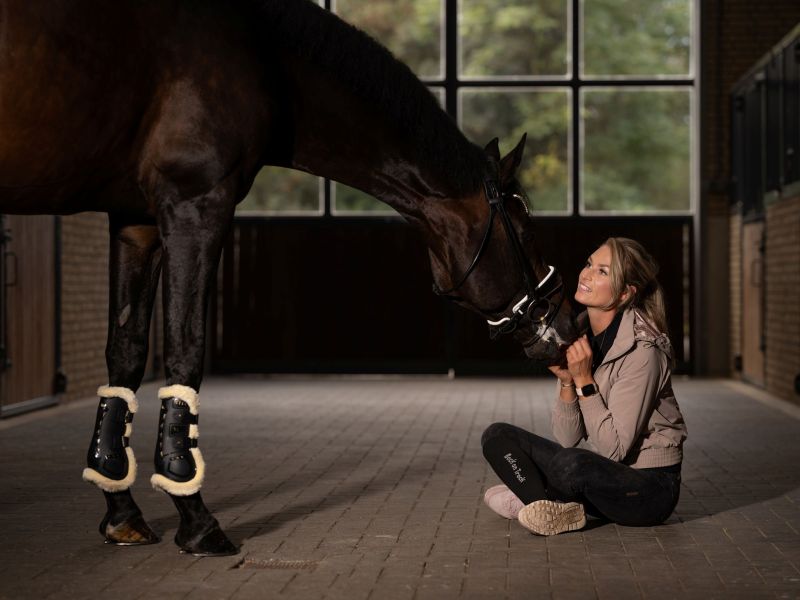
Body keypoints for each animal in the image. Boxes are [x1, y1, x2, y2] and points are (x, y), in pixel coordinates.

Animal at [0, 0, 576, 556]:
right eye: (525, 225)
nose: (564, 323)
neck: (261, 53)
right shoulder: (195, 204)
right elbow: (185, 350)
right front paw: (196, 518)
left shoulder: (133, 220)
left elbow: (125, 353)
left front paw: (122, 512)